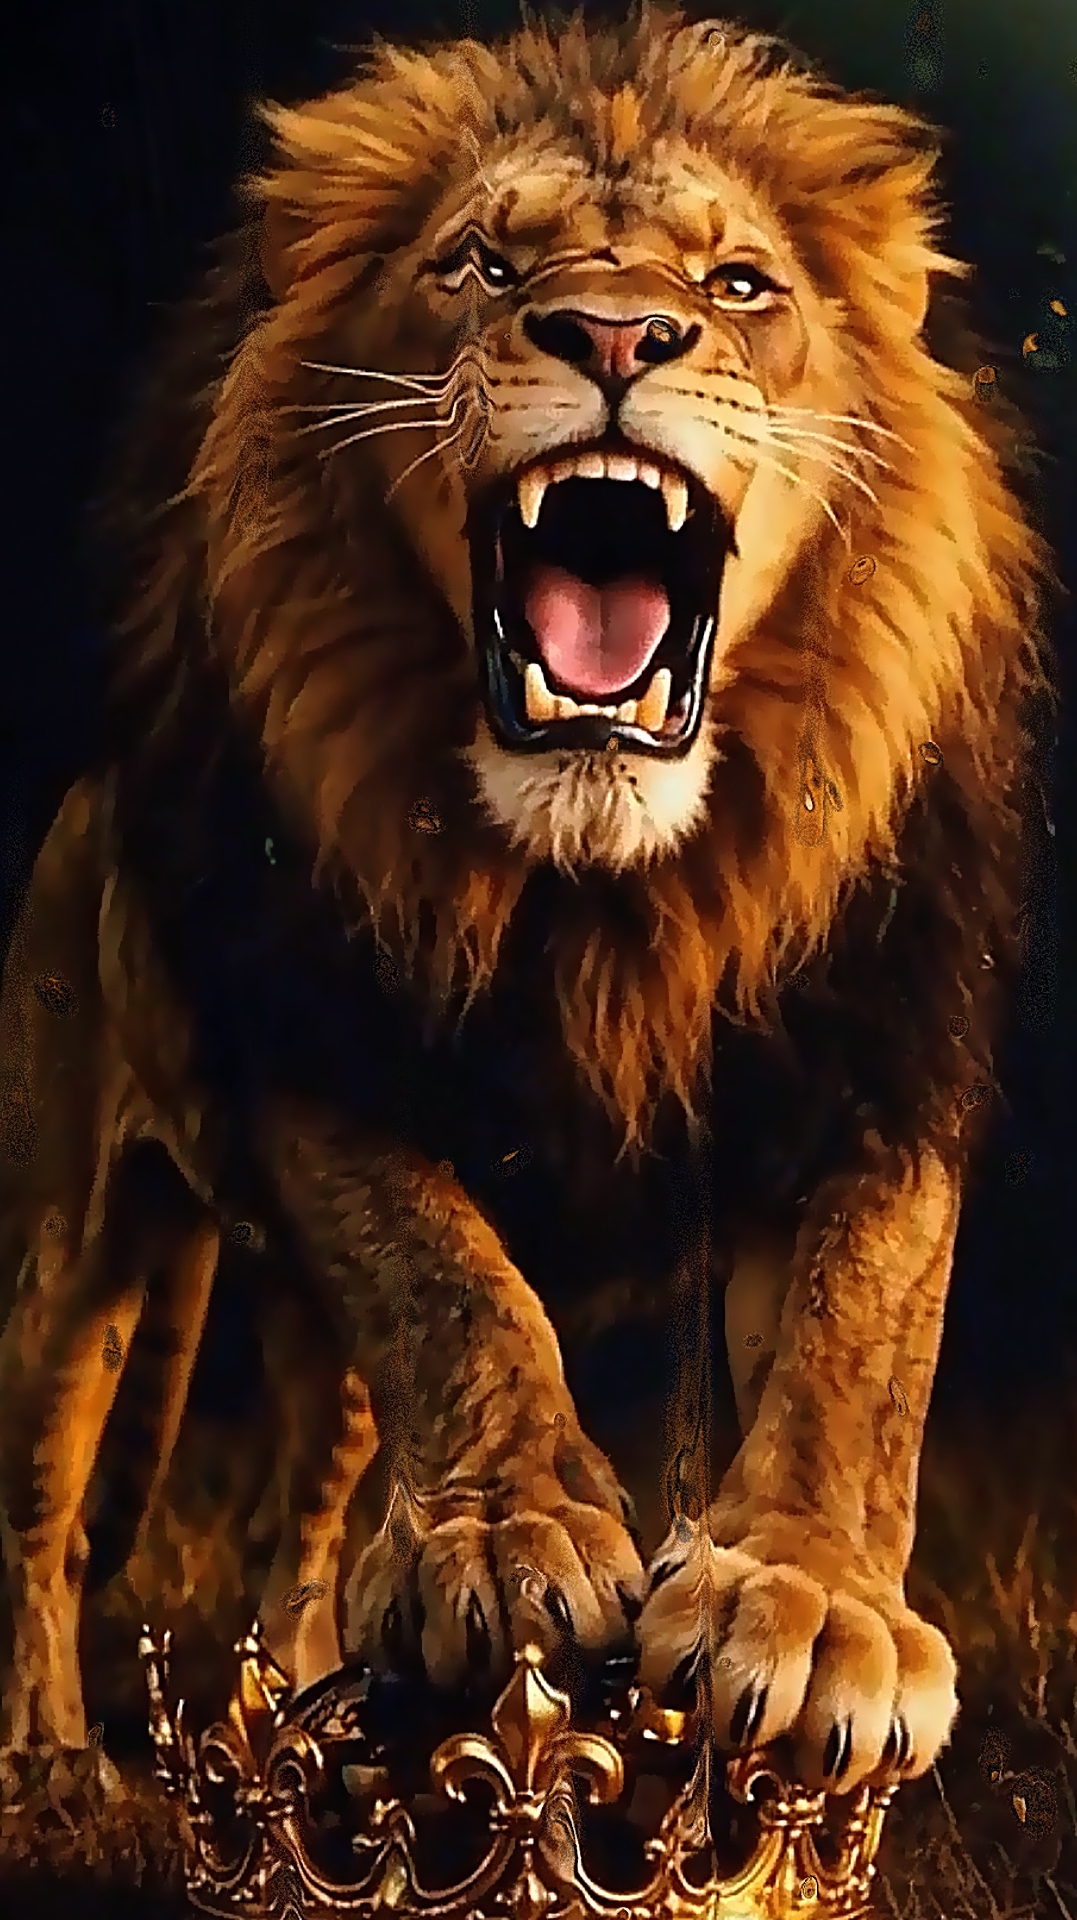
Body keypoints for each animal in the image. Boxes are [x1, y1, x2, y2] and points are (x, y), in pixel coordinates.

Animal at [0, 3, 1052, 1801]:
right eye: (482, 265)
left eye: (740, 285)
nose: (615, 331)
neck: (607, 893)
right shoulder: (322, 1039)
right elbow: (457, 1288)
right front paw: (508, 1539)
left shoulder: (869, 1053)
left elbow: (860, 1348)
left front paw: (809, 1606)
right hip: (62, 1261)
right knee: (45, 1524)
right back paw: (54, 1760)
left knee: (296, 1519)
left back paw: (296, 1712)